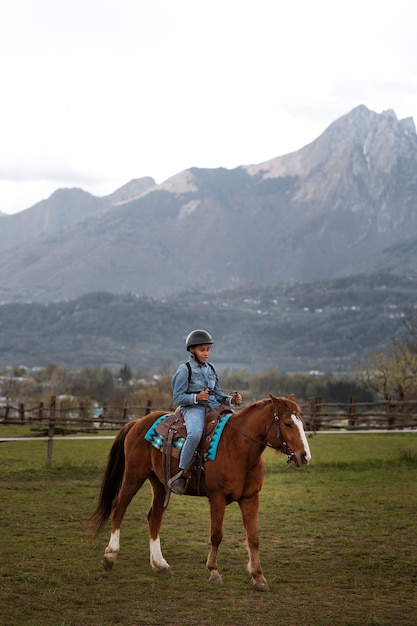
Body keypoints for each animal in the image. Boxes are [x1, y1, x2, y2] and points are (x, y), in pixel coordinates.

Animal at [89, 392, 310, 588]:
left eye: (302, 423)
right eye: (288, 424)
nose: (304, 456)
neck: (238, 447)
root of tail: (137, 422)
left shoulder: (250, 498)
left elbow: (253, 538)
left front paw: (258, 577)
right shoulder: (217, 498)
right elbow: (216, 535)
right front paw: (213, 572)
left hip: (160, 484)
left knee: (154, 517)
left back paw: (159, 564)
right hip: (134, 475)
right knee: (119, 507)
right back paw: (109, 556)